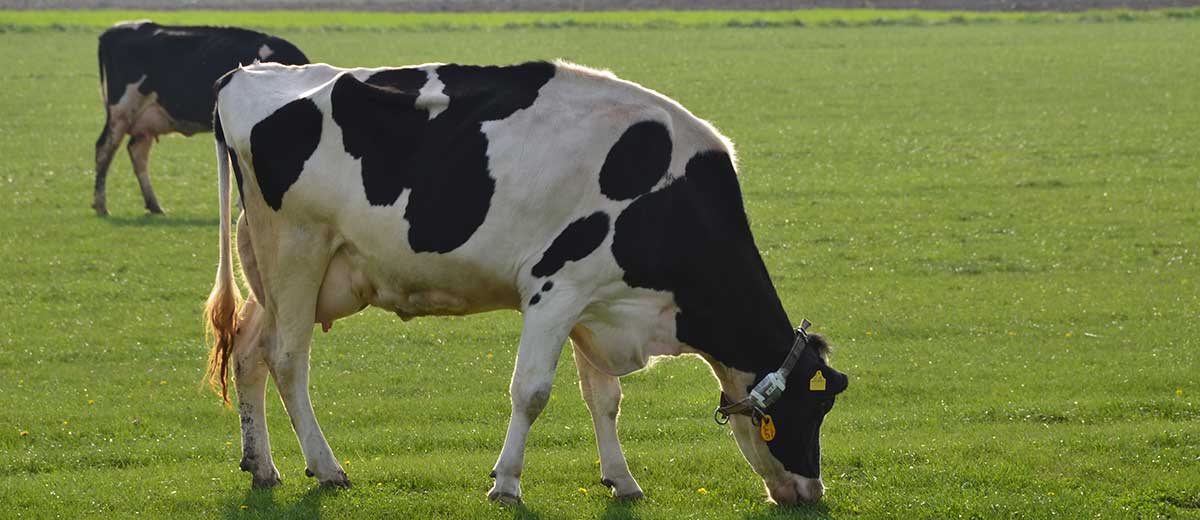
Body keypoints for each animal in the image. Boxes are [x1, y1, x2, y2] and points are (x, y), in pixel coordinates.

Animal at [94, 20, 309, 214]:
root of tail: (111, 31)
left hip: (145, 120)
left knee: (137, 153)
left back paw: (154, 205)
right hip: (121, 111)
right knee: (104, 149)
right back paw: (101, 205)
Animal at [201, 59, 849, 501]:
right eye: (814, 408)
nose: (811, 493)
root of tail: (246, 73)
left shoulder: (595, 302)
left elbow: (605, 398)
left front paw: (622, 479)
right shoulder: (555, 291)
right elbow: (531, 392)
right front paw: (506, 482)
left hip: (276, 271)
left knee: (249, 353)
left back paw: (262, 466)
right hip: (296, 250)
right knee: (288, 361)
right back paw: (326, 467)